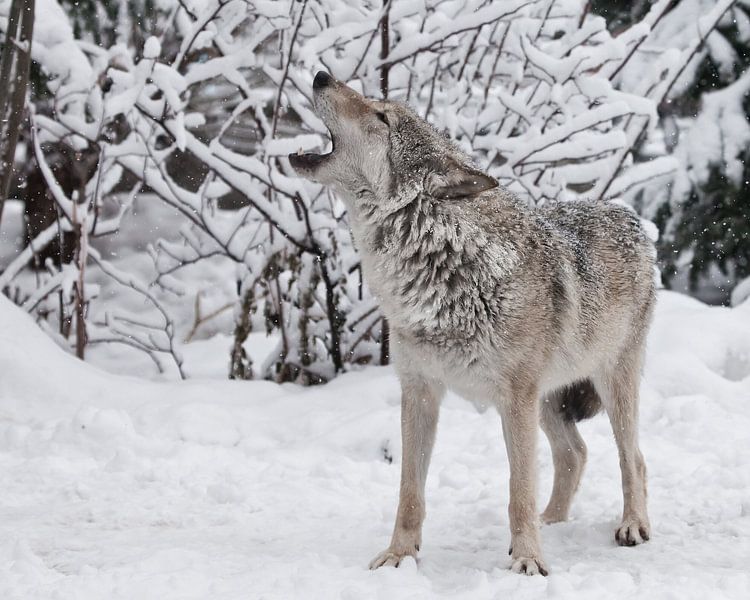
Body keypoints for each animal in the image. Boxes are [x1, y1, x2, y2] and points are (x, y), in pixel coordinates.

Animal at [290, 71, 656, 576]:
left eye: (382, 117)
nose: (322, 75)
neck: (443, 264)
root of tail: (628, 215)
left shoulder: (514, 401)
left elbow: (518, 491)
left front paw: (528, 561)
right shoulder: (420, 391)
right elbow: (409, 492)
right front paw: (399, 555)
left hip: (607, 384)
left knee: (633, 457)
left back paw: (631, 526)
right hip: (548, 400)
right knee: (574, 454)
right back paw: (553, 521)